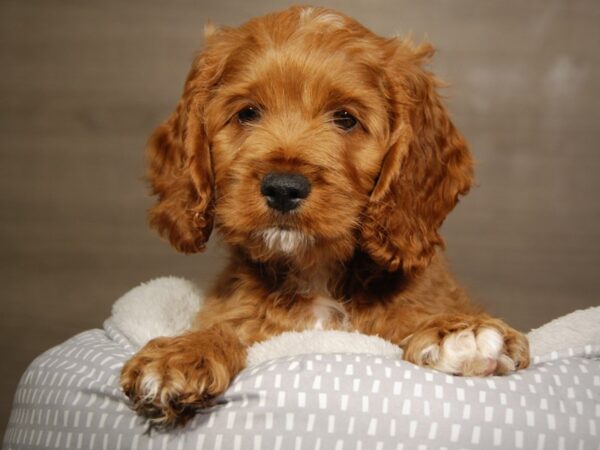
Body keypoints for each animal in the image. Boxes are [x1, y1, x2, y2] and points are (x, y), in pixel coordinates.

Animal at [120, 7, 528, 428]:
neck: (315, 272)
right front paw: (182, 353)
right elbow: (227, 329)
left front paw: (460, 331)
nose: (283, 188)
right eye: (247, 113)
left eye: (345, 119)